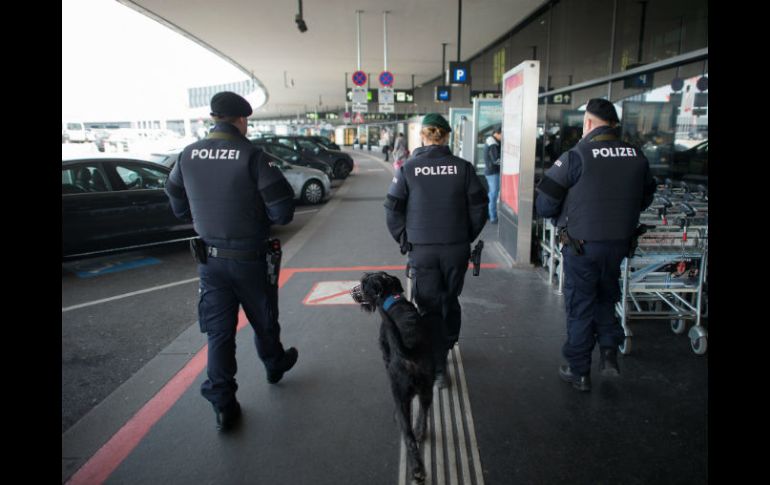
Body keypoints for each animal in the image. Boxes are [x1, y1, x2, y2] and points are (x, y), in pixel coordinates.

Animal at [352, 270, 436, 482]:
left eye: (364, 284)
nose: (353, 293)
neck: (393, 298)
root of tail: (410, 352)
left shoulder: (385, 354)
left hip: (398, 392)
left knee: (408, 435)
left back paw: (417, 469)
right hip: (427, 388)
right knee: (423, 411)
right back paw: (420, 430)